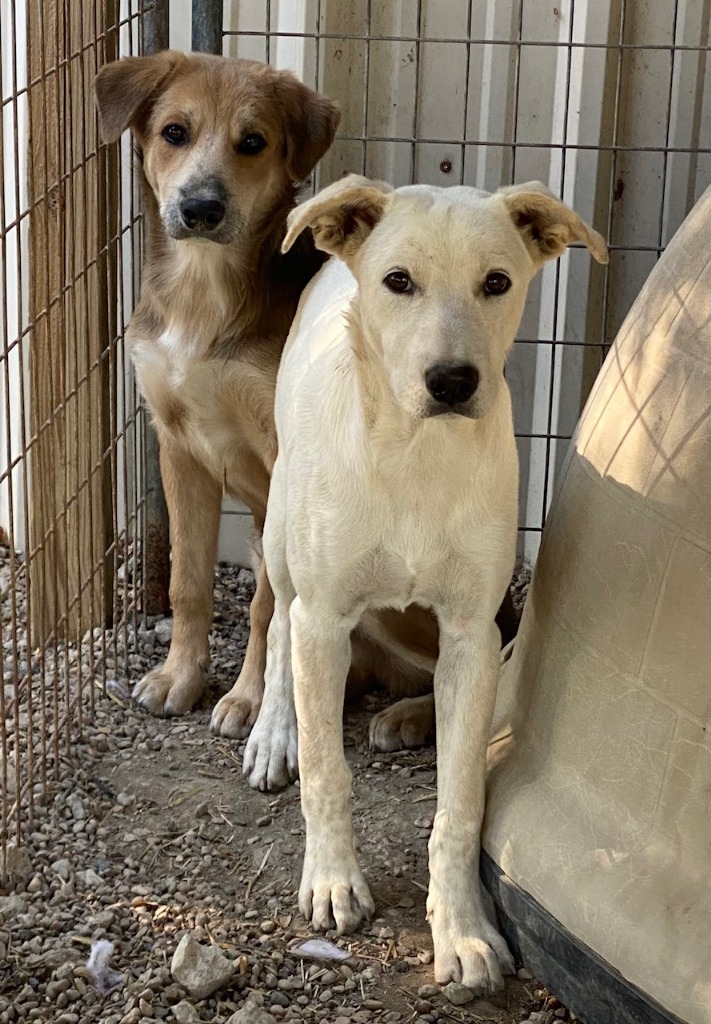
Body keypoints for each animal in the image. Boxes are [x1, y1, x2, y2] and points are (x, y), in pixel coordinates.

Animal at [95, 51, 342, 733]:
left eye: (252, 142)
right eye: (174, 132)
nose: (201, 208)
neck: (203, 295)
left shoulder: (283, 461)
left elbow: (266, 605)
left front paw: (248, 699)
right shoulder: (177, 446)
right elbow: (187, 581)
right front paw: (180, 677)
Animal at [244, 176, 606, 991]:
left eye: (496, 283)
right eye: (397, 281)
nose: (451, 380)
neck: (415, 454)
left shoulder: (472, 632)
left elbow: (460, 803)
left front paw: (461, 929)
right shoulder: (324, 618)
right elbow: (327, 771)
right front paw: (332, 880)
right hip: (282, 538)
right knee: (276, 623)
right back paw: (274, 731)